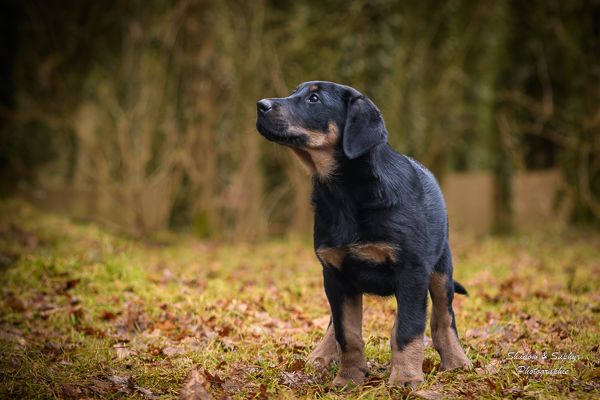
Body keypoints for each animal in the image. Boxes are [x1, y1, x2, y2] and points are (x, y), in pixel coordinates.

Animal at [255, 82, 472, 388]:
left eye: (314, 98)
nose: (260, 105)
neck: (343, 194)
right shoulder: (335, 272)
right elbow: (347, 333)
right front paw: (349, 379)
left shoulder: (412, 272)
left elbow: (407, 329)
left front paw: (405, 379)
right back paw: (322, 354)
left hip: (441, 267)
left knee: (443, 316)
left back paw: (456, 360)